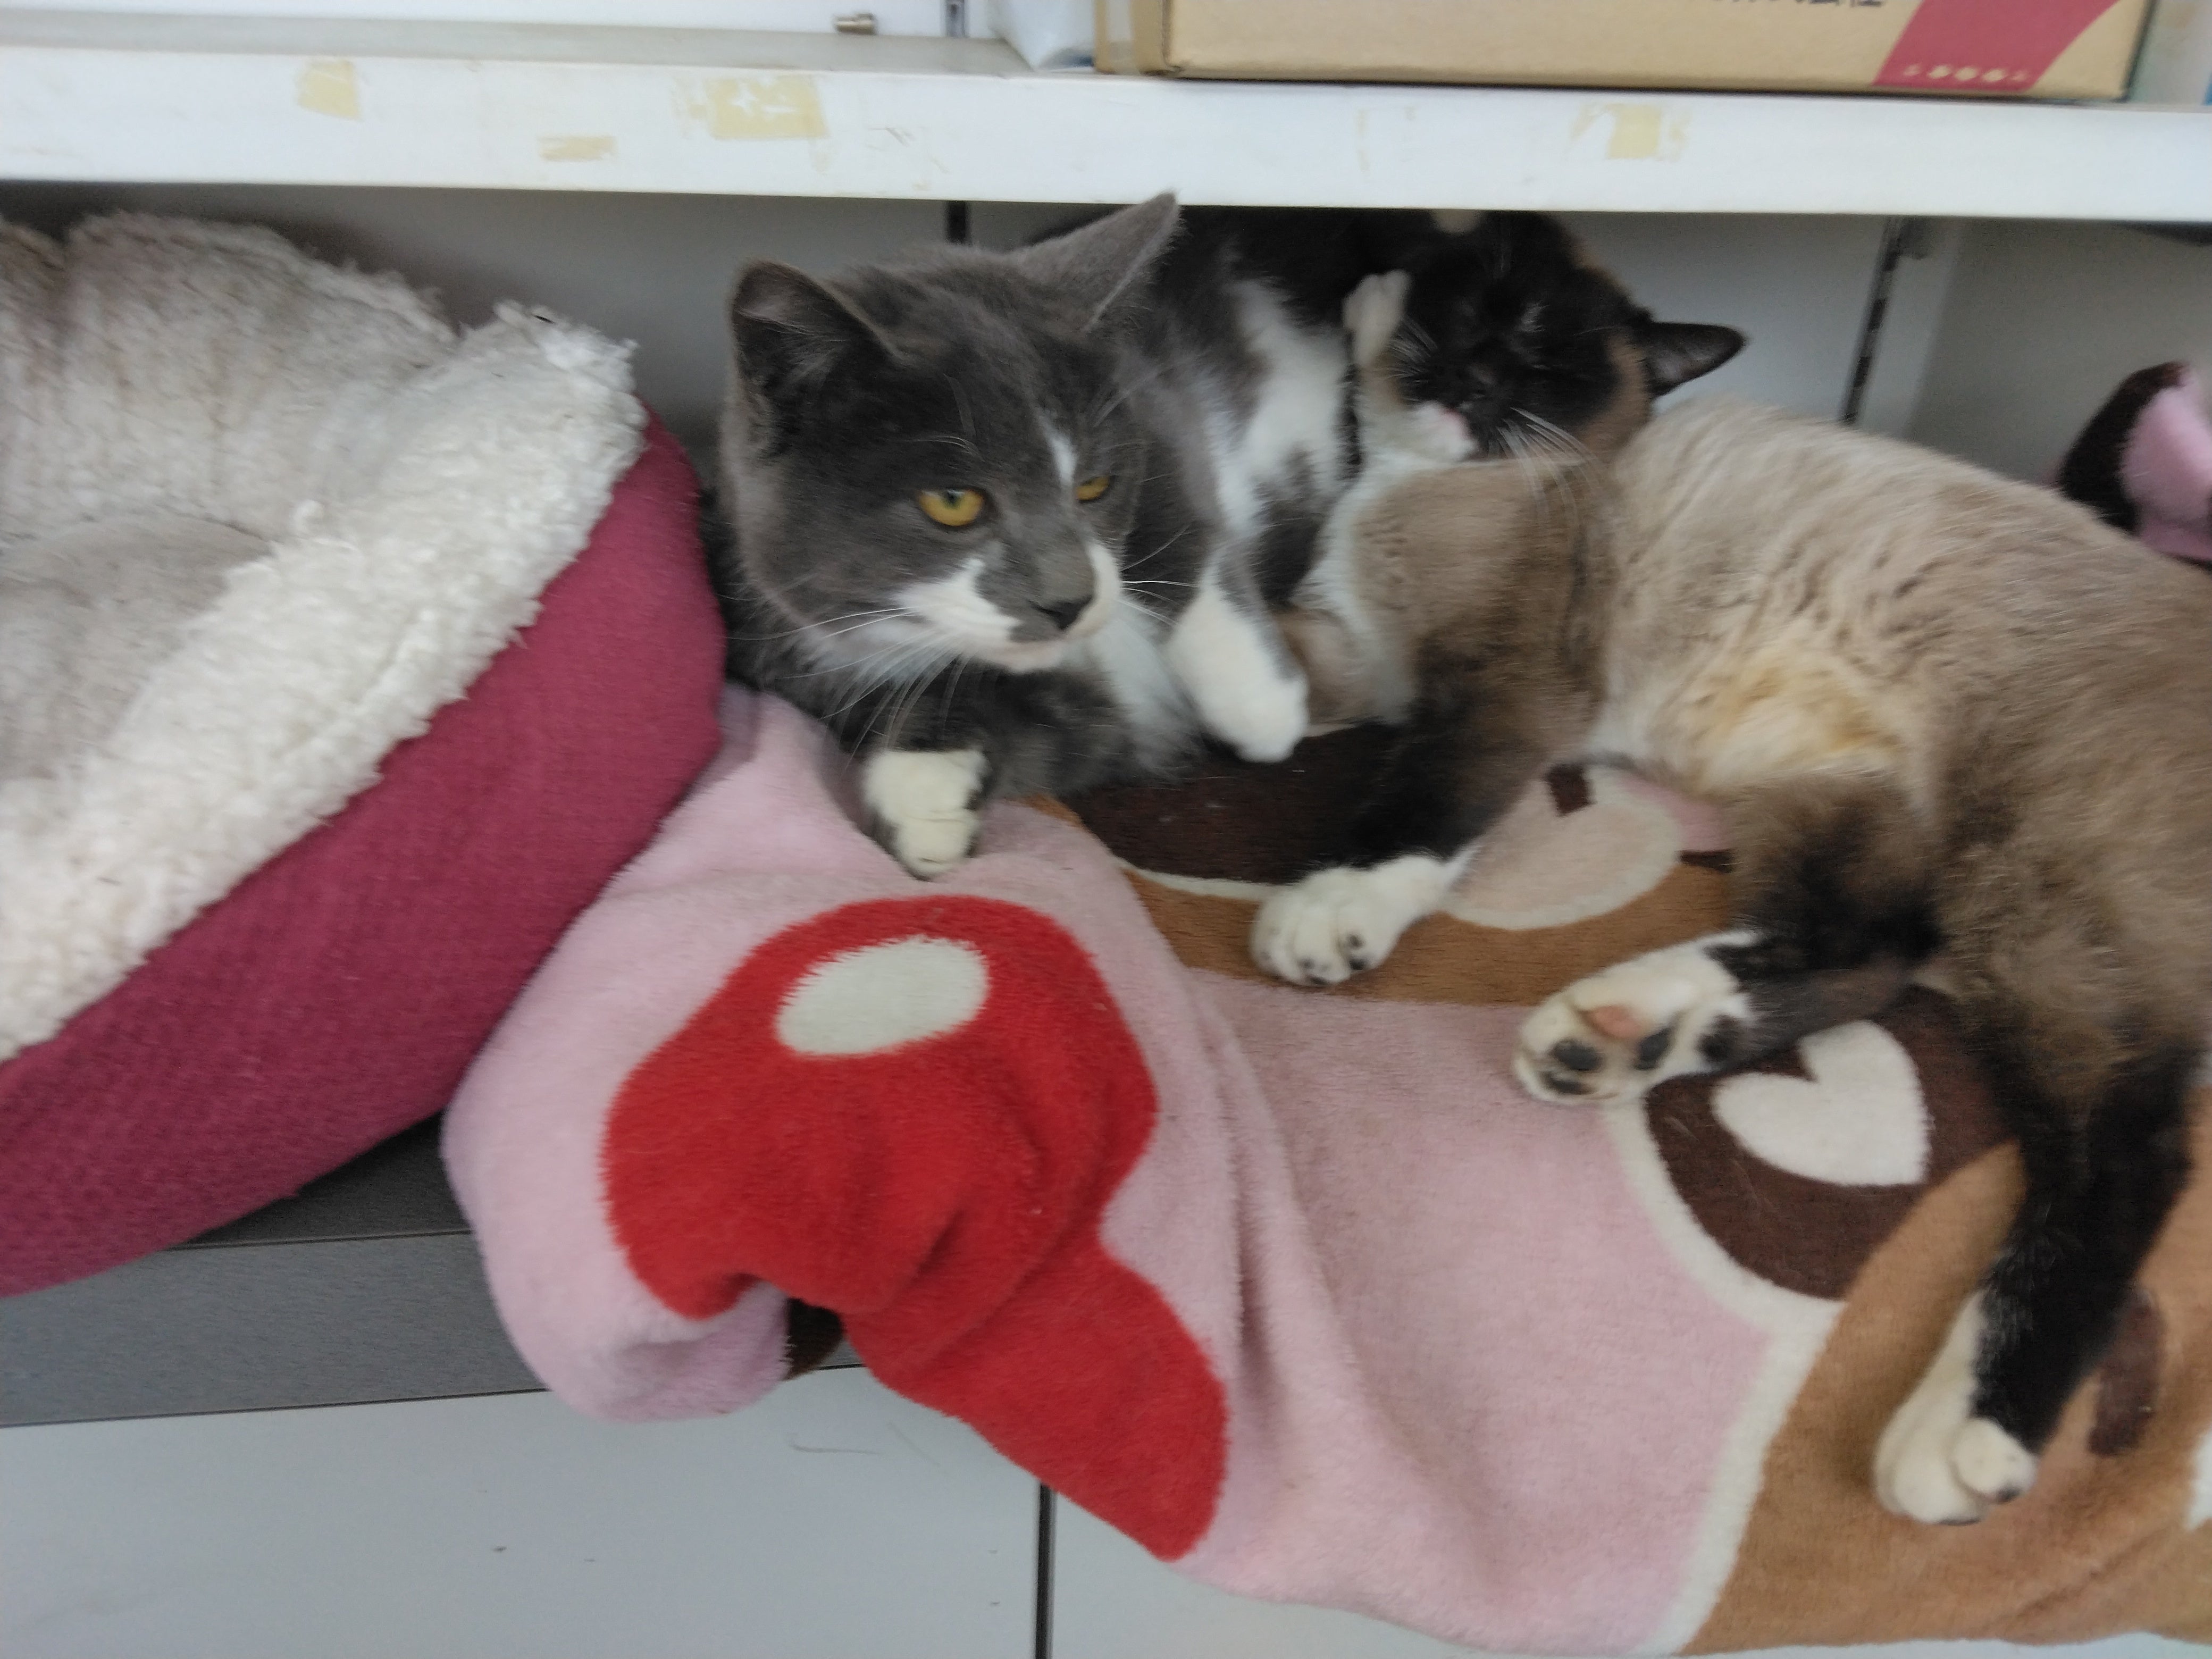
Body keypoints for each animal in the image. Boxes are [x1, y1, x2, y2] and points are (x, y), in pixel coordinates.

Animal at [712, 195, 1443, 877]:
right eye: (952, 503)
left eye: (1093, 485)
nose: (1069, 601)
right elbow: (1058, 731)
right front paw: (923, 799)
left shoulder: (1146, 401)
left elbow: (1183, 515)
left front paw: (1259, 703)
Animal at [1257, 221, 2212, 1527]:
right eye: (1466, 317)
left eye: (1543, 363)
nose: (1475, 385)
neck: (1413, 481)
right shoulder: (1357, 666)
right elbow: (1227, 674)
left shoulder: (1499, 694)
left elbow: (1414, 811)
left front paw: (1325, 911)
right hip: (1842, 808)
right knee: (1870, 957)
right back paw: (1625, 1036)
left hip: (2040, 897)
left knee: (2126, 1146)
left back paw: (1967, 1433)